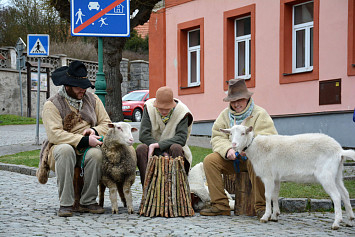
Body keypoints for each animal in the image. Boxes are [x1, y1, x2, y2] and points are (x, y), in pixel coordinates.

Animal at [222, 124, 355, 230]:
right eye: (231, 133)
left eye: (243, 133)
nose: (234, 144)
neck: (255, 147)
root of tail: (340, 151)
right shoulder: (276, 178)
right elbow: (275, 196)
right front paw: (275, 216)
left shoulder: (268, 176)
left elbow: (267, 196)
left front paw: (266, 216)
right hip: (336, 174)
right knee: (345, 194)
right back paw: (350, 221)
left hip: (326, 175)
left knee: (337, 196)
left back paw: (336, 223)